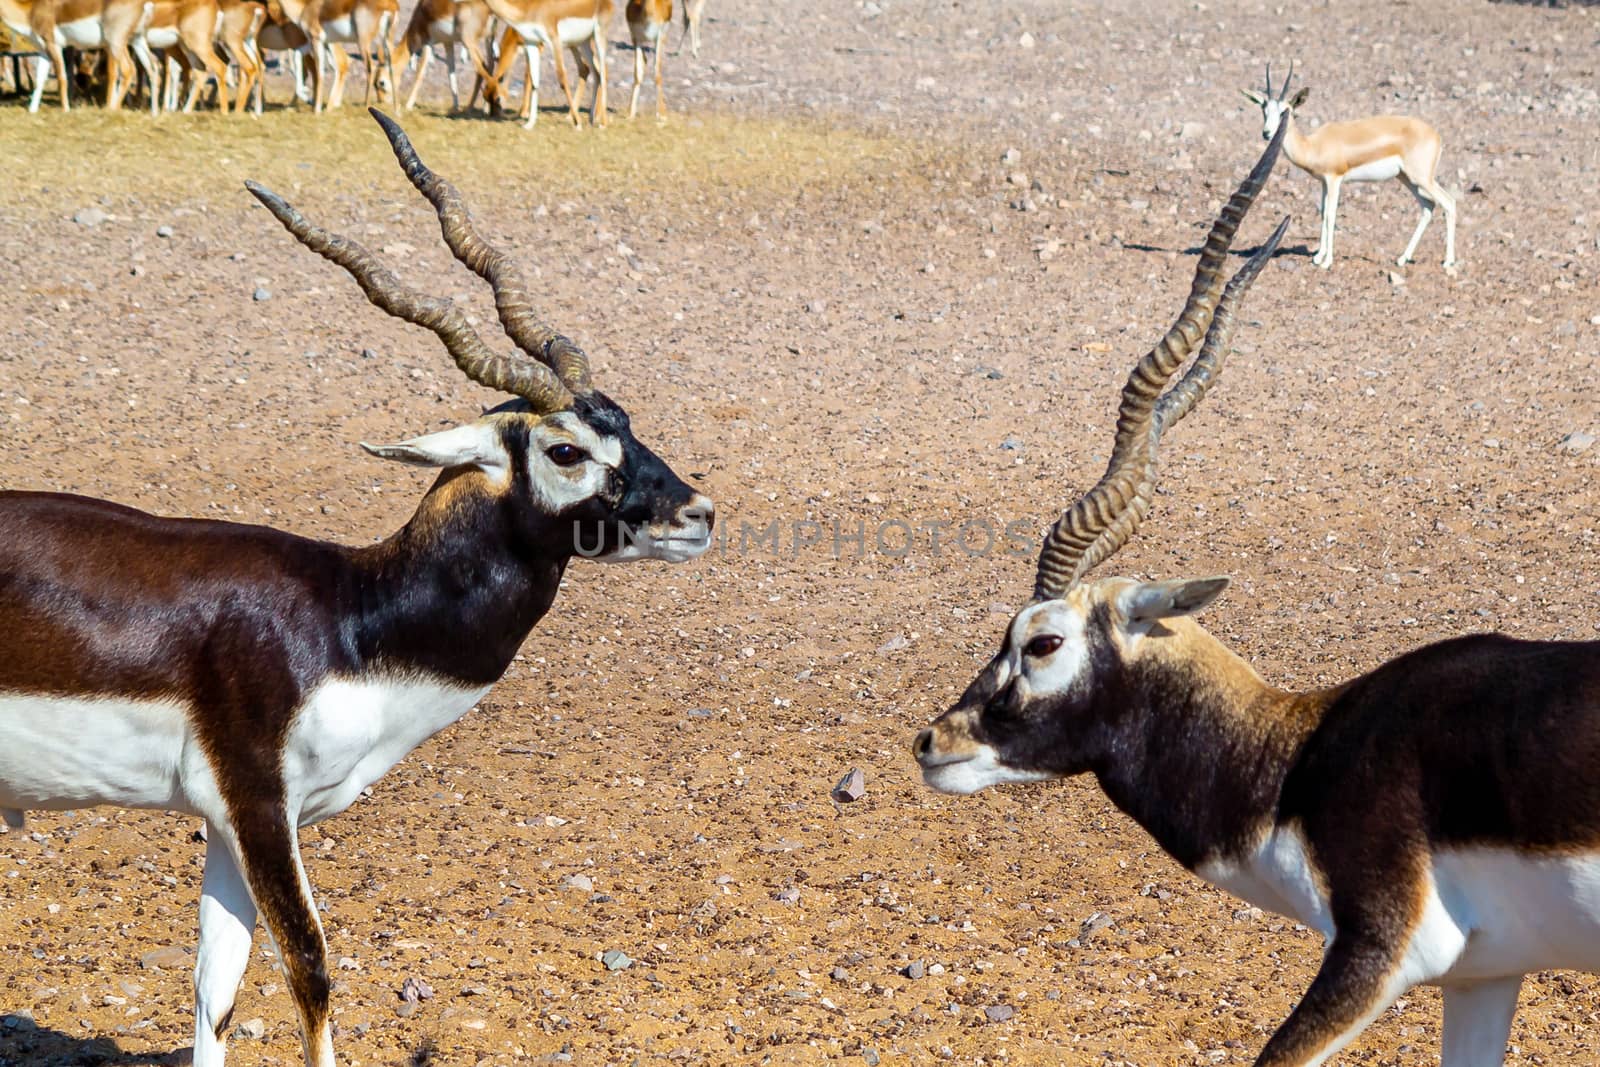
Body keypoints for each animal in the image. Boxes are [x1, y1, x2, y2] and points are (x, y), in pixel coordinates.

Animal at [0, 106, 713, 1067]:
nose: (697, 512)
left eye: (625, 422)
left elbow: (215, 996)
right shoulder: (260, 803)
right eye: (565, 448)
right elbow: (312, 968)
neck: (353, 618)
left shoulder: (225, 819)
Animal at [476, 0, 608, 127]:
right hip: (573, 45)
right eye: (485, 96)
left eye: (497, 98)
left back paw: (596, 117)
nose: (491, 115)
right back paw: (574, 116)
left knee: (600, 69)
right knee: (586, 69)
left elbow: (527, 76)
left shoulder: (537, 47)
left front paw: (523, 112)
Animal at [1241, 62, 1459, 271]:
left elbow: (1331, 215)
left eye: (1284, 112)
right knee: (1428, 206)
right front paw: (1318, 256)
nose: (1267, 133)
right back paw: (1402, 259)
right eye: (1264, 110)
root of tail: (1436, 135)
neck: (1313, 145)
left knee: (1448, 202)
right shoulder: (1323, 182)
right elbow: (1323, 213)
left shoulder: (1335, 179)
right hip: (1406, 178)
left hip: (1421, 178)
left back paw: (1448, 262)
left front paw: (1327, 262)